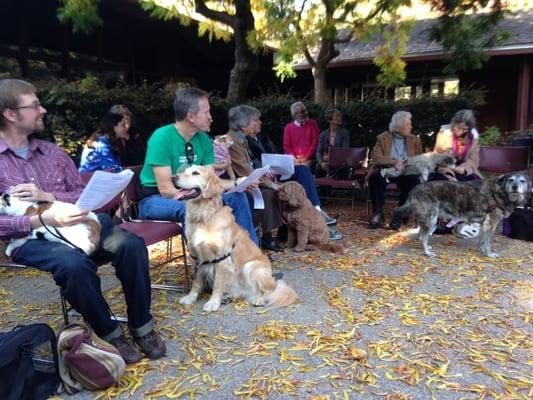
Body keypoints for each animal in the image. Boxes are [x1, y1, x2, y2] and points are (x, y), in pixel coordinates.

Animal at [171, 166, 298, 312]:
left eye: (195, 173)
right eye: (184, 170)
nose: (173, 177)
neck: (203, 216)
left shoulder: (221, 258)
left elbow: (217, 284)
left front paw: (213, 302)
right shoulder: (197, 257)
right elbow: (196, 282)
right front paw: (190, 297)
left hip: (251, 266)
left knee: (269, 290)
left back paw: (258, 299)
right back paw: (228, 297)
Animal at [388, 172, 528, 256]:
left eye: (522, 181)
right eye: (511, 180)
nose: (515, 187)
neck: (499, 191)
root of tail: (414, 189)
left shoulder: (484, 225)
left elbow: (481, 239)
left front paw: (481, 249)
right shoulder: (490, 225)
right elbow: (488, 242)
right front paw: (489, 254)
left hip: (431, 221)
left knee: (422, 235)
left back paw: (428, 248)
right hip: (431, 219)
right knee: (423, 237)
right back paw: (427, 253)